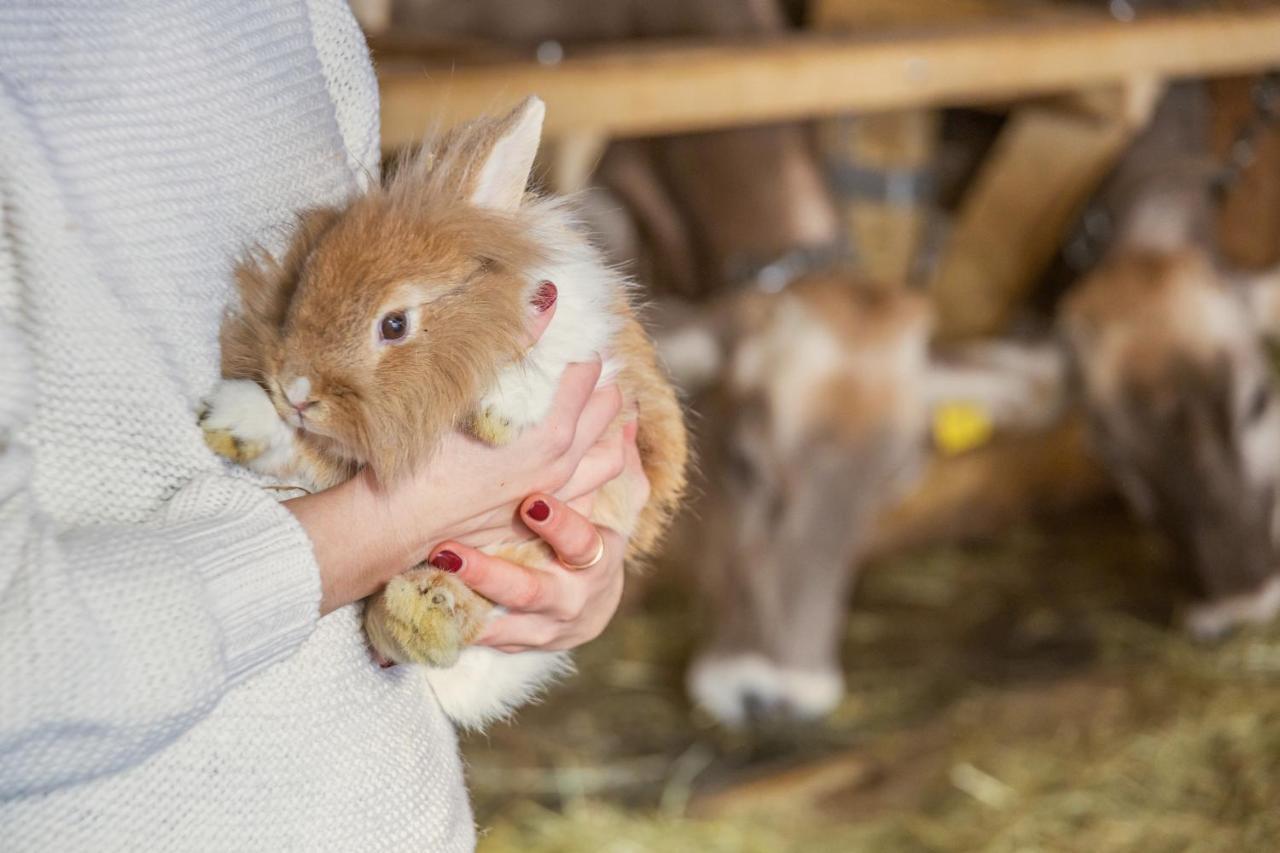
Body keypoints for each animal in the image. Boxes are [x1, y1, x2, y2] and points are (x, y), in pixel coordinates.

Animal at [198, 97, 691, 722]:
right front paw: (242, 418)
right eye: (301, 284)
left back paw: (424, 610)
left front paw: (500, 417)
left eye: (394, 324)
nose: (297, 390)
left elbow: (544, 361)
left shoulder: (587, 344)